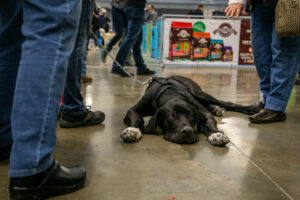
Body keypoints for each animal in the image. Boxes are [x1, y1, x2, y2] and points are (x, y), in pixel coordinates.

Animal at [120, 76, 258, 146]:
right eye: (171, 116)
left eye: (191, 115)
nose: (187, 131)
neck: (170, 93)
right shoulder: (133, 110)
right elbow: (138, 119)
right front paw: (133, 131)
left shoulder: (203, 113)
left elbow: (210, 123)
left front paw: (216, 135)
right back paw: (215, 108)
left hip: (198, 92)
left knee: (226, 103)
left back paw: (251, 108)